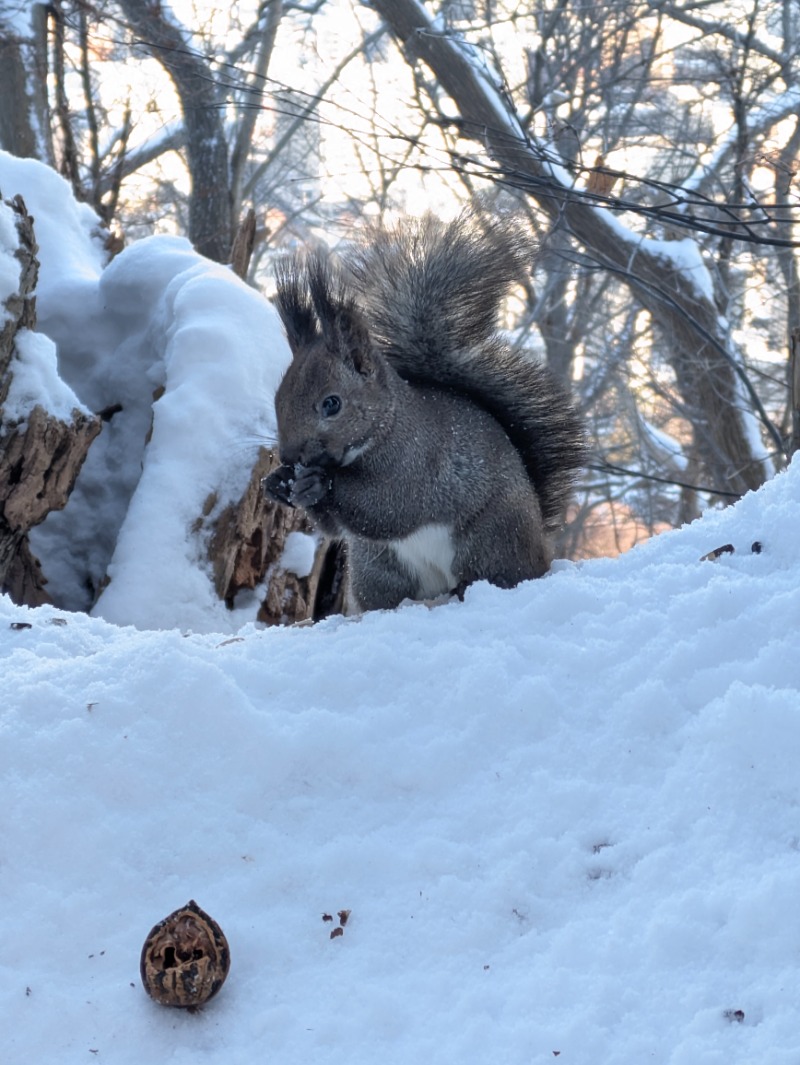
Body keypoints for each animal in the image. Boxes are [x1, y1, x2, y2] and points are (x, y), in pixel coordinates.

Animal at [266, 209, 583, 609]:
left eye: (332, 404)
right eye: (278, 398)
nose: (289, 456)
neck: (386, 427)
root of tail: (542, 547)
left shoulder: (417, 464)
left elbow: (388, 506)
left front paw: (319, 482)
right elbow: (333, 527)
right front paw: (278, 483)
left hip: (490, 538)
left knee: (495, 574)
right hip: (377, 566)